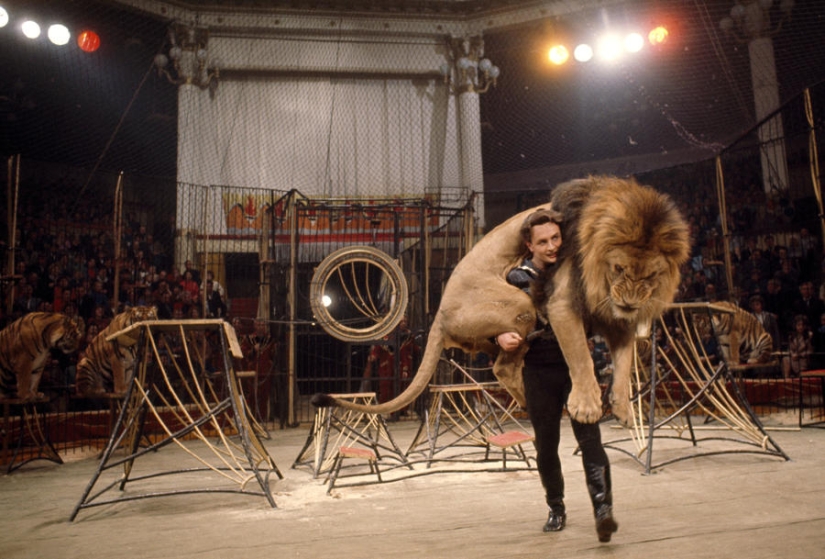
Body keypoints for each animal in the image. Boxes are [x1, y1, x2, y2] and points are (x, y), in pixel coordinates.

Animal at [312, 177, 692, 426]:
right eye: (619, 268)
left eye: (650, 276)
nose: (628, 301)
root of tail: (438, 316)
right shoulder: (562, 304)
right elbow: (581, 358)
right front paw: (586, 406)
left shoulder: (616, 319)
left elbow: (625, 362)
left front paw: (624, 409)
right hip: (518, 304)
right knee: (503, 367)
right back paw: (544, 406)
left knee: (501, 359)